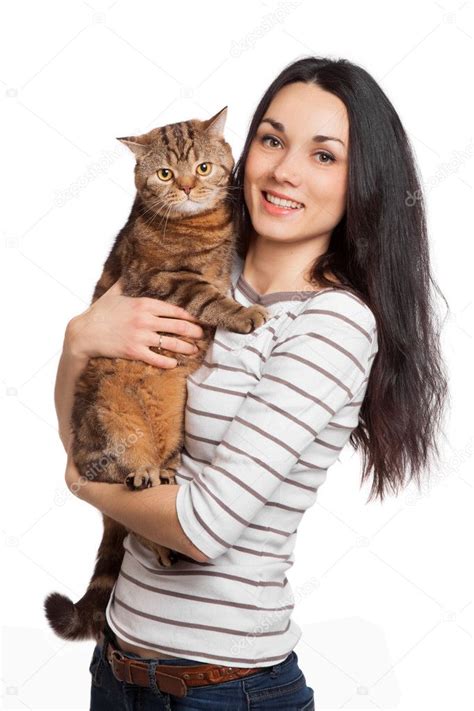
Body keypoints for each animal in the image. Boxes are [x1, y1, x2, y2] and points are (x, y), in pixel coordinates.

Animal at [43, 107, 270, 644]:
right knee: (123, 488)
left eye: (203, 167)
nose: (187, 186)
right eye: (165, 174)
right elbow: (212, 298)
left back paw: (163, 474)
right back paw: (144, 478)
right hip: (110, 424)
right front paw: (244, 314)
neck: (202, 224)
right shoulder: (165, 282)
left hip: (173, 424)